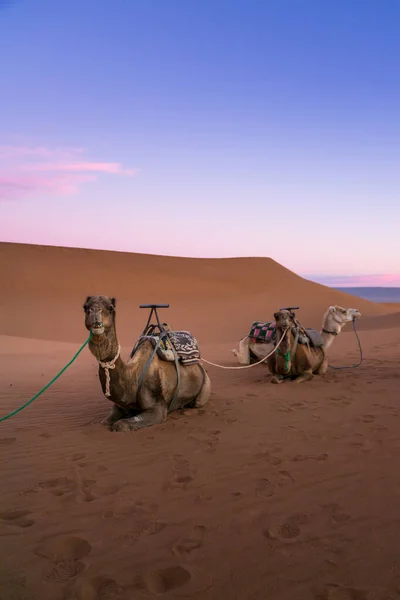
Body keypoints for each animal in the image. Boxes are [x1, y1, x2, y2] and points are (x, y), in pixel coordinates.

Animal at [83, 296, 211, 432]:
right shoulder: (120, 405)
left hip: (205, 386)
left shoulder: (158, 408)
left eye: (111, 308)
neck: (131, 376)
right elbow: (105, 422)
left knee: (196, 403)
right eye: (85, 307)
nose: (95, 311)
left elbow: (121, 424)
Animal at [230, 304, 360, 366]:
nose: (357, 311)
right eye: (343, 311)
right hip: (245, 345)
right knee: (244, 360)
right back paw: (234, 352)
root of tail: (245, 336)